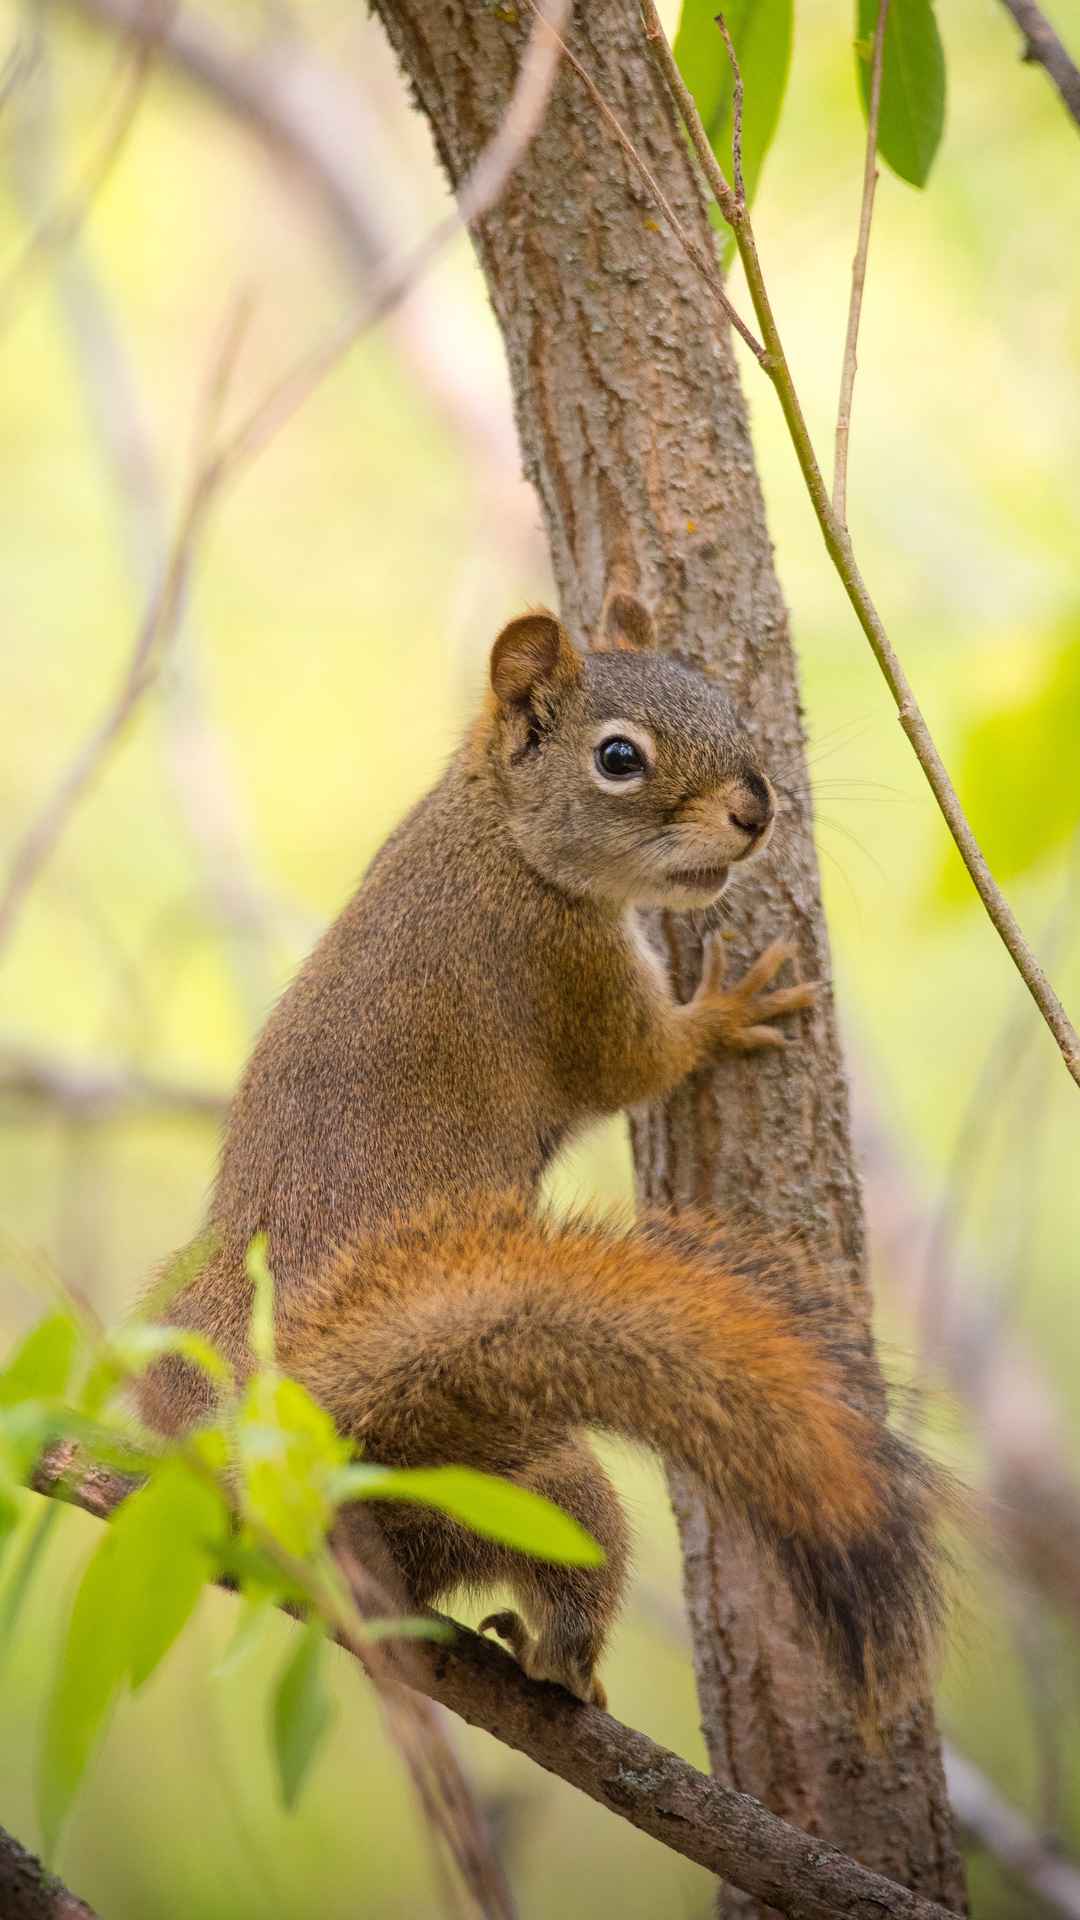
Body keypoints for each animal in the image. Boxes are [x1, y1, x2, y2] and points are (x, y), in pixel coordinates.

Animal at [145, 591, 949, 1720]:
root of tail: (299, 1464)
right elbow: (639, 1061)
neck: (498, 828)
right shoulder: (562, 968)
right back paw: (560, 1664)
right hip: (530, 1481)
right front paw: (729, 1009)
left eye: (721, 698)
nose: (757, 811)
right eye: (618, 758)